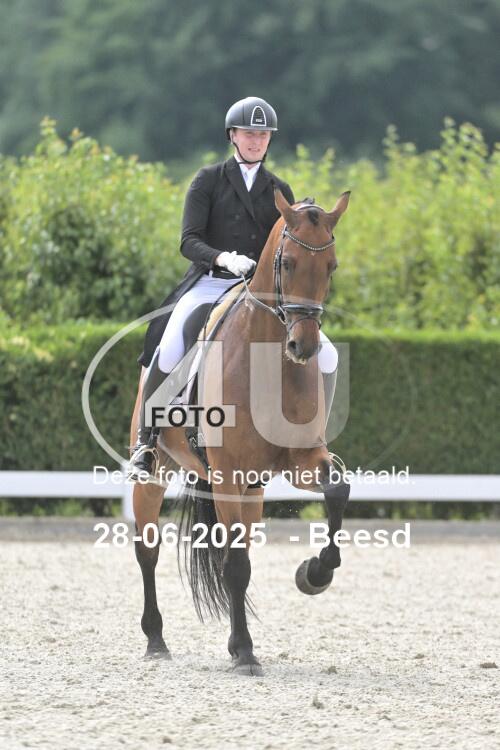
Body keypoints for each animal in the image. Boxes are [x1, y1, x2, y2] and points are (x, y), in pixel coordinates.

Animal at [129, 187, 351, 675]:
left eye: (331, 266)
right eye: (287, 264)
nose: (303, 347)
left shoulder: (301, 461)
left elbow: (337, 489)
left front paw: (315, 573)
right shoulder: (228, 475)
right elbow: (234, 567)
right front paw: (246, 653)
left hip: (253, 488)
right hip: (158, 472)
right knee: (148, 550)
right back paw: (155, 640)